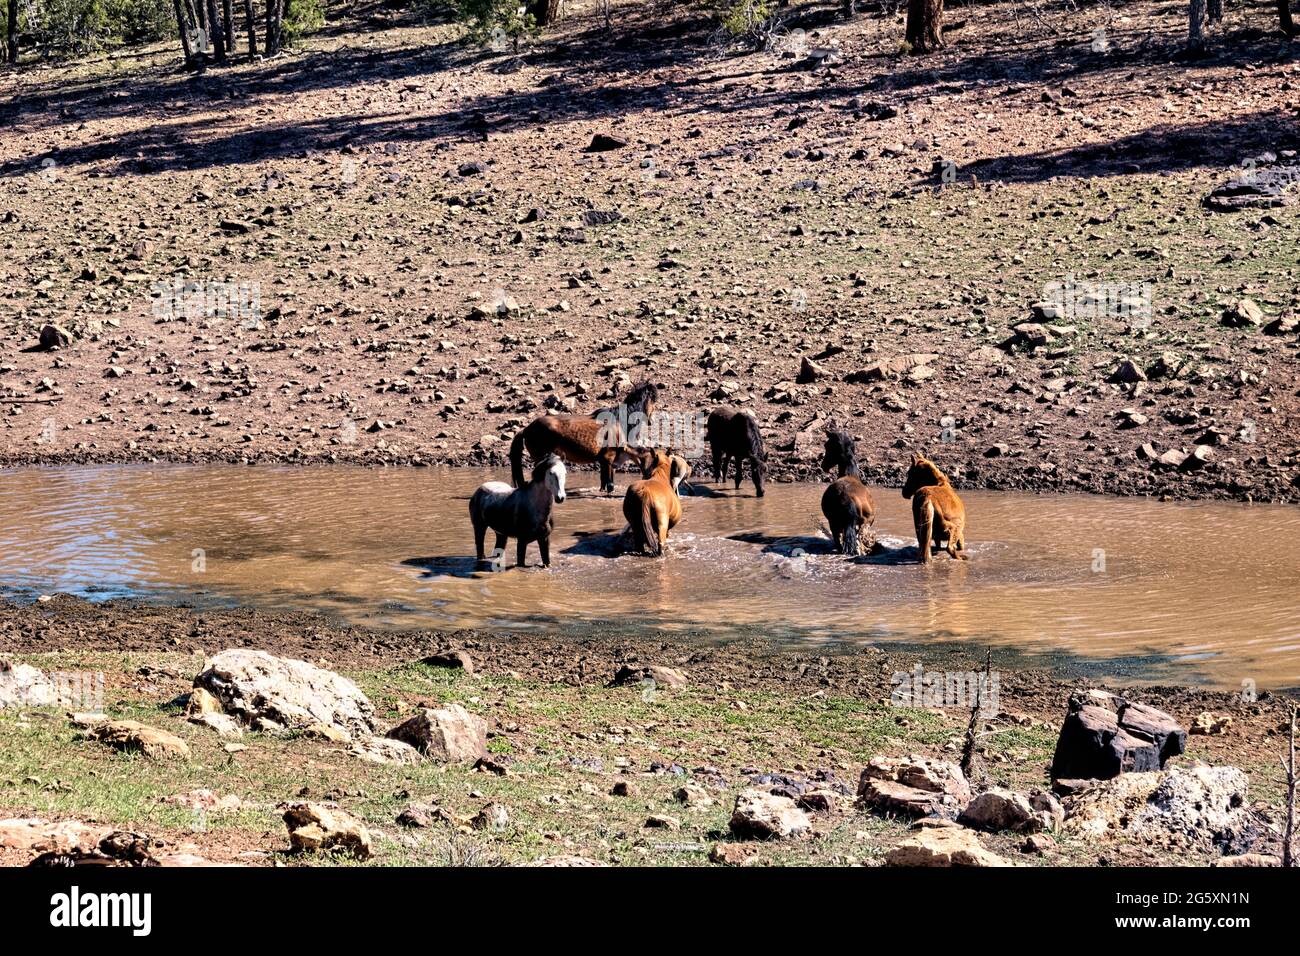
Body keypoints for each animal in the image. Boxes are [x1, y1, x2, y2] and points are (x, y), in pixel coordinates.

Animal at [509, 381, 659, 493]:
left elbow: (603, 483)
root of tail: (526, 429)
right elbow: (610, 485)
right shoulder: (608, 459)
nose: (651, 421)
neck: (617, 421)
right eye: (654, 399)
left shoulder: (604, 461)